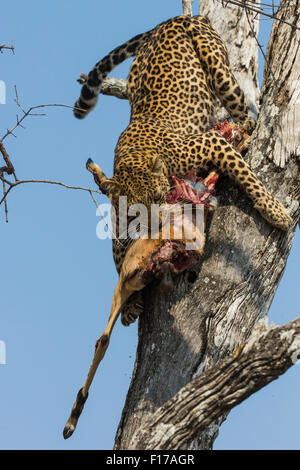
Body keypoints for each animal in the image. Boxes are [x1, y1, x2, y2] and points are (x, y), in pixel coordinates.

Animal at [74, 14, 292, 326]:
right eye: (136, 210)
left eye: (159, 196)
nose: (157, 226)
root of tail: (172, 20)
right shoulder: (119, 220)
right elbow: (118, 255)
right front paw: (129, 305)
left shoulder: (211, 141)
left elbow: (247, 175)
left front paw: (276, 213)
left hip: (219, 70)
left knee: (242, 111)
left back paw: (246, 133)